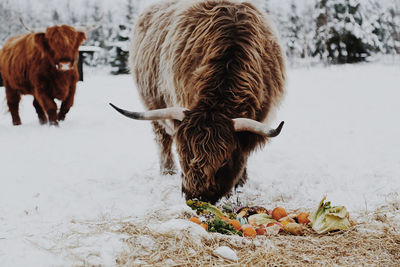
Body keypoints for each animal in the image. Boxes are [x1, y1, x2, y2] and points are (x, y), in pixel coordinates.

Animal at [109, 0, 286, 203]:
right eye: (182, 154)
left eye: (224, 161)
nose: (195, 197)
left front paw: (241, 184)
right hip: (152, 107)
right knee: (162, 140)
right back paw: (167, 171)